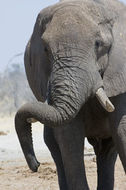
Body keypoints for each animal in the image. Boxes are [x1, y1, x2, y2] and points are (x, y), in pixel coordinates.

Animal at [14, 0, 126, 189]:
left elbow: (121, 130)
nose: (36, 165)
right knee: (55, 146)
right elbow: (69, 137)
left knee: (108, 149)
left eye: (98, 44)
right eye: (45, 49)